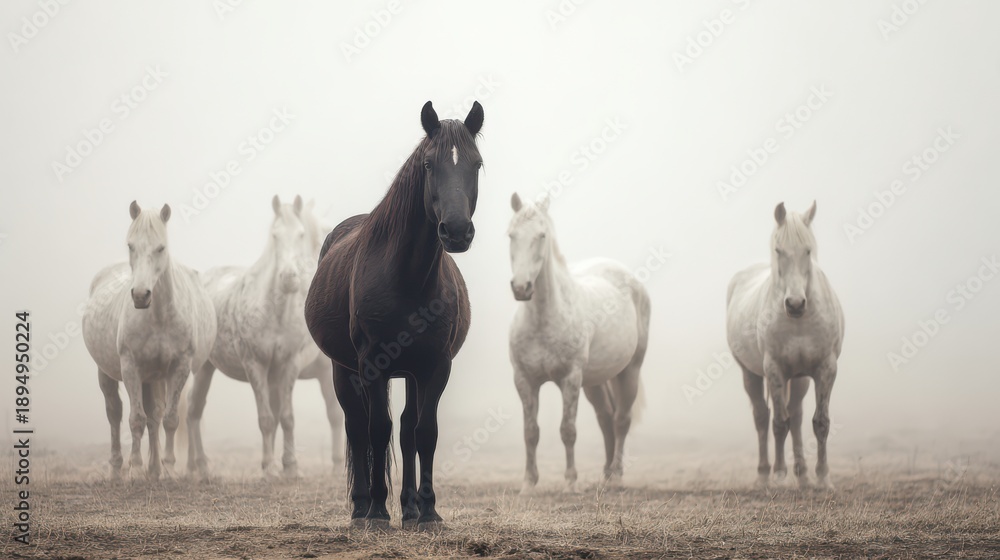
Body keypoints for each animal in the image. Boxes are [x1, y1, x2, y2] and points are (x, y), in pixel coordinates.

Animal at [82, 201, 217, 480]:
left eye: (160, 247)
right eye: (131, 245)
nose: (140, 295)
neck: (158, 317)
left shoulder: (178, 367)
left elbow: (169, 419)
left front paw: (169, 468)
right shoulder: (130, 367)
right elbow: (136, 419)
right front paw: (135, 469)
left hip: (153, 378)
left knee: (155, 415)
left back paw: (155, 469)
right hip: (108, 372)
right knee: (114, 412)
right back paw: (117, 469)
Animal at [186, 195, 320, 479]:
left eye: (301, 234)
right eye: (275, 235)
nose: (289, 278)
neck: (274, 310)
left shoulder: (289, 365)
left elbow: (286, 417)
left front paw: (291, 467)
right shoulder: (254, 364)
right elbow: (266, 419)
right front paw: (268, 467)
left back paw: (195, 466)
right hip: (203, 367)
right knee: (193, 409)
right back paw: (201, 466)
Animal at [305, 100, 484, 531]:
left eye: (478, 163)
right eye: (429, 164)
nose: (456, 231)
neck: (408, 280)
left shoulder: (435, 366)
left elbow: (424, 432)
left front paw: (429, 511)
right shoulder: (372, 364)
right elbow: (376, 429)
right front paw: (376, 512)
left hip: (411, 372)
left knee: (406, 430)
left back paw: (410, 507)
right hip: (343, 370)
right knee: (357, 427)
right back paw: (360, 508)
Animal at [507, 192, 650, 495]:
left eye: (542, 235)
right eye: (511, 235)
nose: (521, 288)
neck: (543, 319)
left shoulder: (570, 379)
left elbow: (567, 430)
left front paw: (571, 483)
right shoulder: (524, 380)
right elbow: (530, 432)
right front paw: (528, 484)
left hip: (629, 371)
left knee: (621, 420)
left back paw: (616, 477)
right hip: (594, 382)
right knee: (606, 419)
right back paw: (605, 475)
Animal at [726, 201, 844, 490]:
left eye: (808, 250)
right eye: (779, 250)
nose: (795, 304)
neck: (800, 322)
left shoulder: (826, 369)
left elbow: (820, 422)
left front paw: (823, 477)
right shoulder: (774, 369)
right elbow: (779, 423)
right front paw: (779, 474)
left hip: (800, 378)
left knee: (798, 416)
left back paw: (803, 475)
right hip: (751, 373)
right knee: (762, 417)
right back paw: (763, 474)